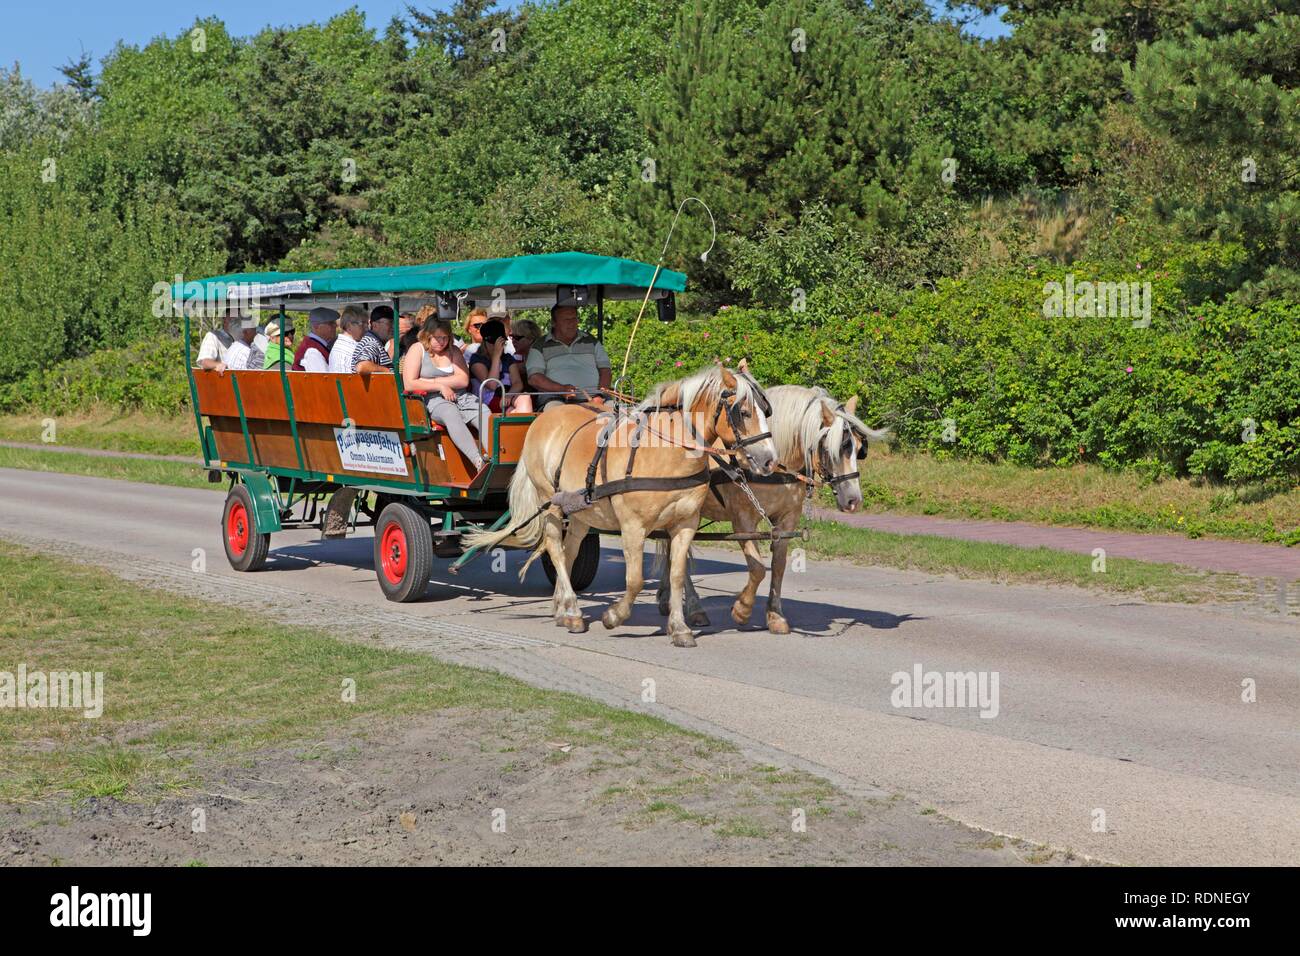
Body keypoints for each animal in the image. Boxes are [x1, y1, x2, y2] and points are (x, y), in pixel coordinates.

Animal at [655, 382, 889, 634]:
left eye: (859, 448)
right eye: (832, 449)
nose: (854, 500)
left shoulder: (787, 519)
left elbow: (778, 566)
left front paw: (775, 615)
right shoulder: (743, 520)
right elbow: (757, 568)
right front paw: (742, 609)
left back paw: (666, 598)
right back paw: (694, 608)